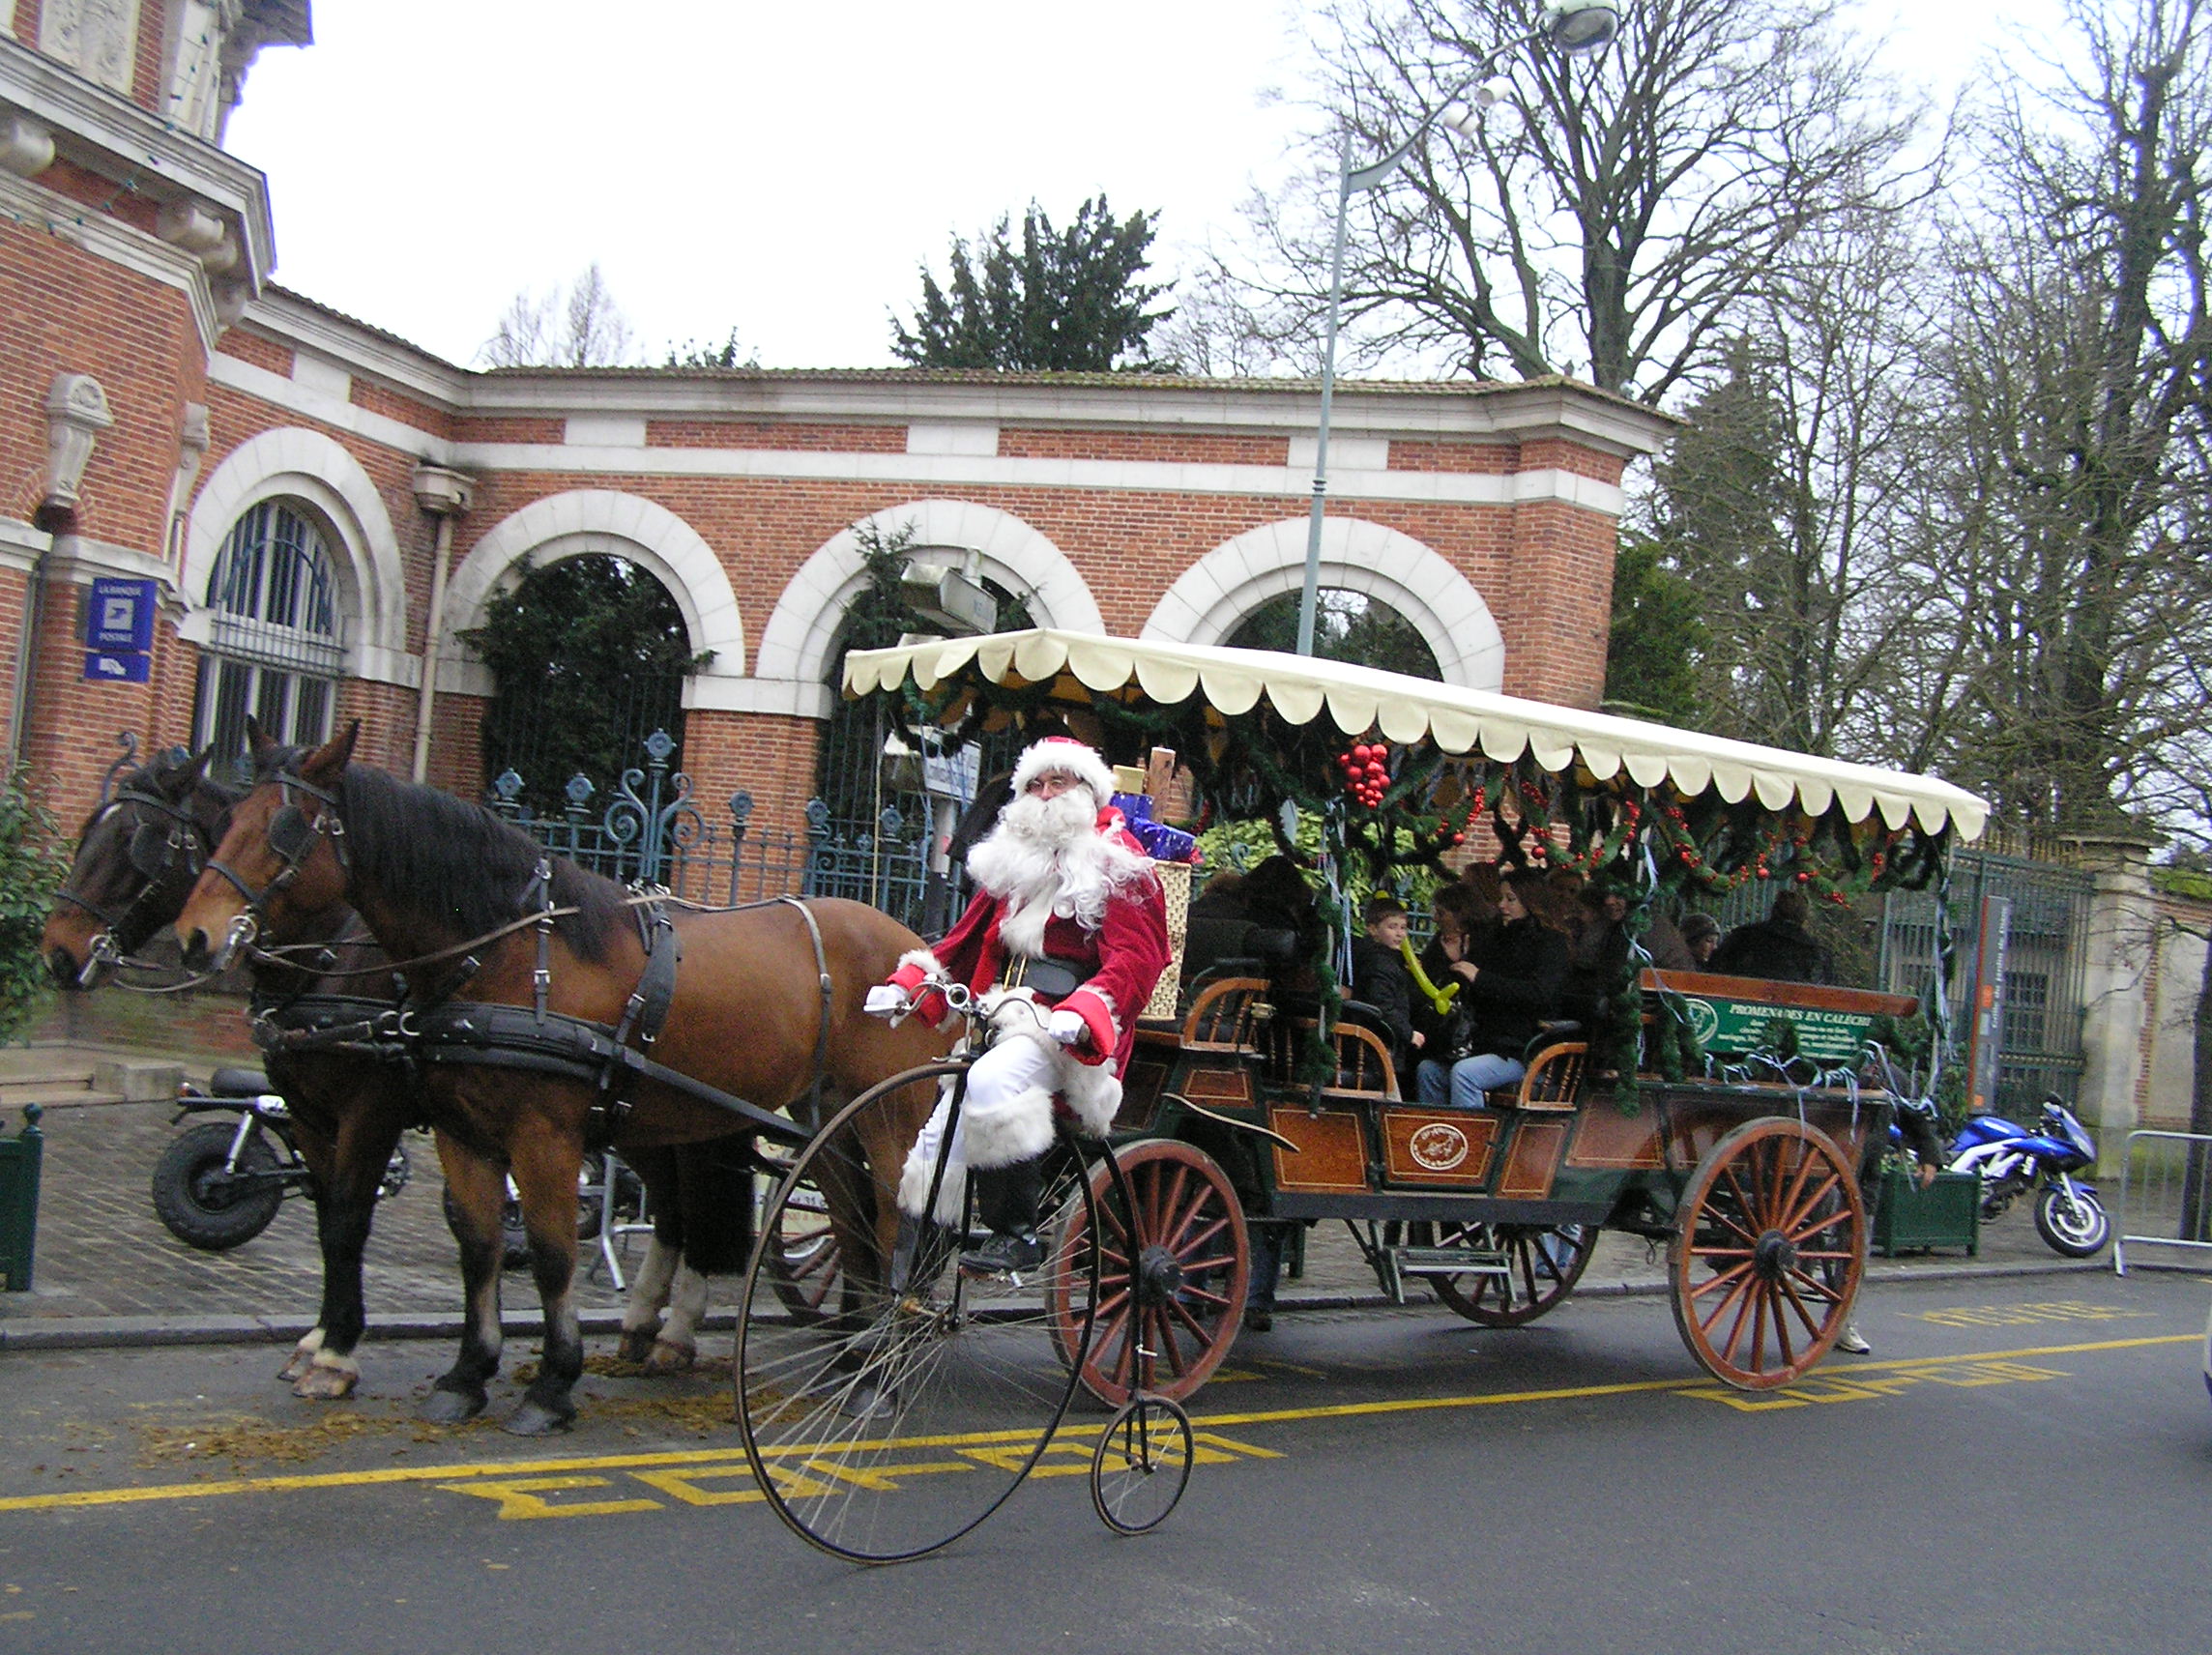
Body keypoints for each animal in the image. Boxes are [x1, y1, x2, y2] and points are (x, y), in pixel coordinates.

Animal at [163, 725, 942, 1434]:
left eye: (286, 830)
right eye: (226, 825)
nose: (194, 937)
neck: (507, 954)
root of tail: (919, 954)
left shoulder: (516, 1132)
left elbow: (544, 1251)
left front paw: (549, 1384)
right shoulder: (459, 1133)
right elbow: (476, 1246)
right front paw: (466, 1373)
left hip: (891, 1120)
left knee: (890, 1221)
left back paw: (882, 1360)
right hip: (811, 1120)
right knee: (835, 1225)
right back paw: (851, 1355)